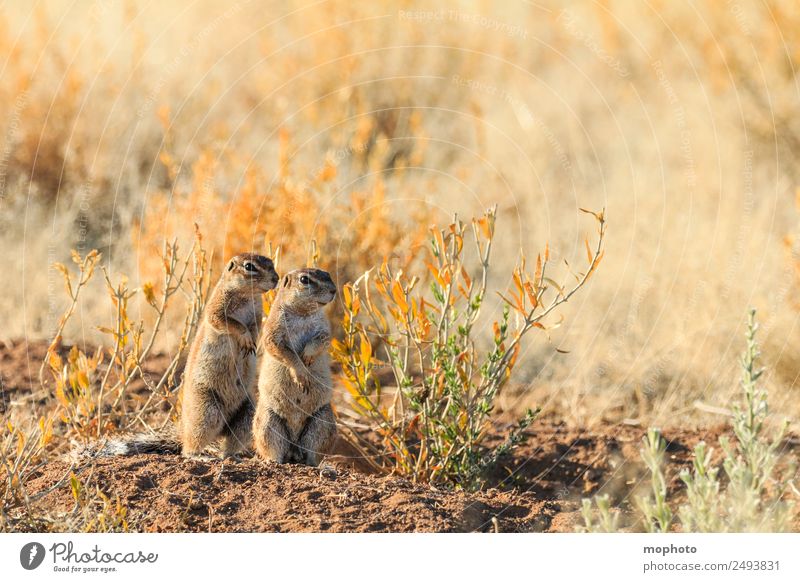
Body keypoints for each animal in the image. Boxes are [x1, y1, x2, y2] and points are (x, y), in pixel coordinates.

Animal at [256, 270, 338, 470]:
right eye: (304, 279)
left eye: (328, 274)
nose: (334, 290)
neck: (303, 314)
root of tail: (294, 449)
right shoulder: (274, 330)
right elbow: (284, 351)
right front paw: (301, 374)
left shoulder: (323, 329)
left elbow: (321, 340)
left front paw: (307, 357)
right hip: (268, 423)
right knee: (274, 448)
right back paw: (272, 462)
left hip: (322, 422)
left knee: (313, 454)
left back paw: (317, 466)